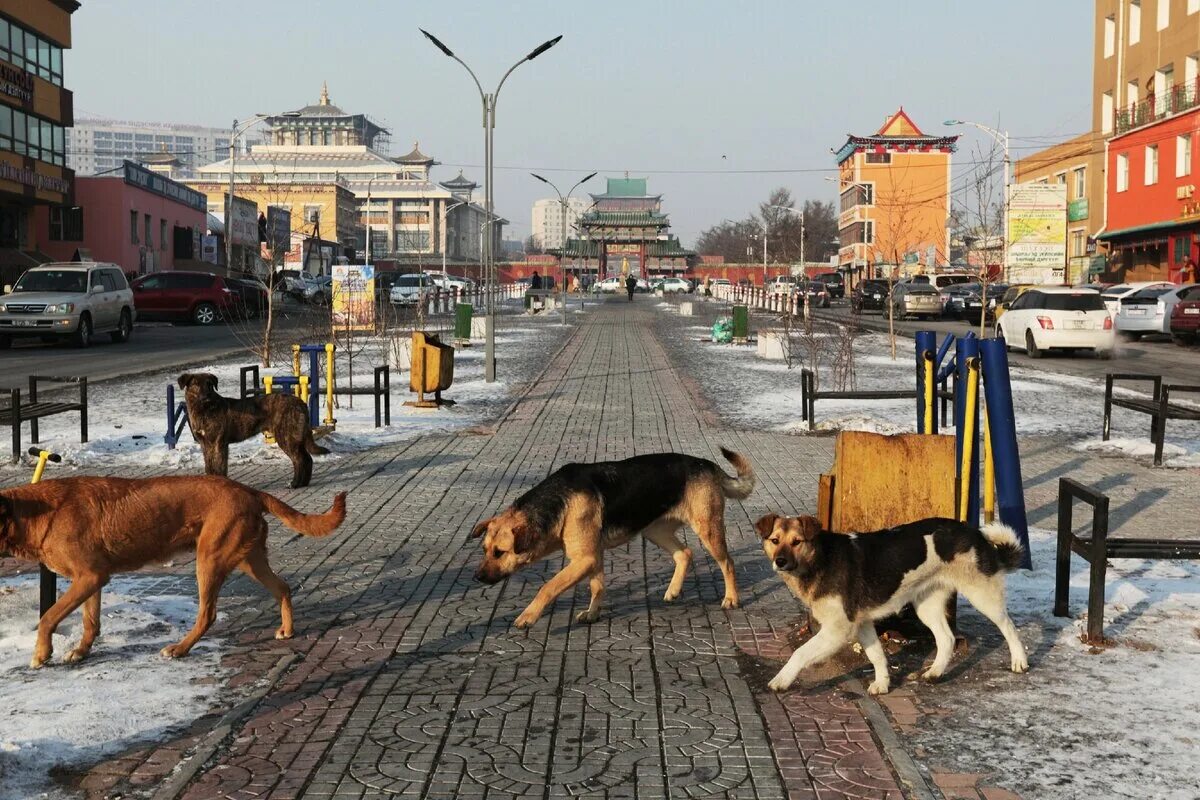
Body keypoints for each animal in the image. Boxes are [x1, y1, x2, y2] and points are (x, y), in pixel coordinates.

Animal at [0, 474, 348, 671]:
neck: (32, 514)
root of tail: (249, 490)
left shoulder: (89, 577)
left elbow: (48, 617)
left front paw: (41, 654)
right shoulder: (92, 579)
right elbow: (90, 622)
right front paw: (81, 651)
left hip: (209, 560)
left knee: (208, 615)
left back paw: (180, 649)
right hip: (249, 560)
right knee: (283, 587)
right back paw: (287, 629)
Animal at [177, 371, 328, 489]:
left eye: (209, 385)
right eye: (197, 384)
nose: (207, 396)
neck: (204, 410)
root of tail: (300, 403)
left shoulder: (218, 444)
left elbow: (219, 467)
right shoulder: (206, 444)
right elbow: (209, 467)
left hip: (286, 438)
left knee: (299, 460)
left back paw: (295, 484)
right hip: (295, 438)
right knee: (307, 459)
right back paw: (304, 483)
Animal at [465, 448, 748, 628]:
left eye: (500, 552)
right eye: (484, 549)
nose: (476, 578)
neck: (560, 502)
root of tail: (708, 464)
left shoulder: (584, 559)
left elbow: (548, 587)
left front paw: (528, 616)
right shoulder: (593, 558)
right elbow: (597, 586)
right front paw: (593, 614)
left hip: (708, 531)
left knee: (728, 563)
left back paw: (731, 598)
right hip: (654, 531)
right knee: (685, 553)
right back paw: (673, 590)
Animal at [753, 513, 1027, 695]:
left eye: (797, 541)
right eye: (775, 540)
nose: (780, 561)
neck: (820, 559)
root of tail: (974, 532)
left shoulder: (838, 630)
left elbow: (799, 653)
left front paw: (781, 680)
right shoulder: (863, 624)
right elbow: (876, 655)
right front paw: (883, 683)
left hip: (982, 595)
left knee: (1009, 626)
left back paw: (1019, 661)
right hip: (926, 606)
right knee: (947, 639)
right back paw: (935, 672)